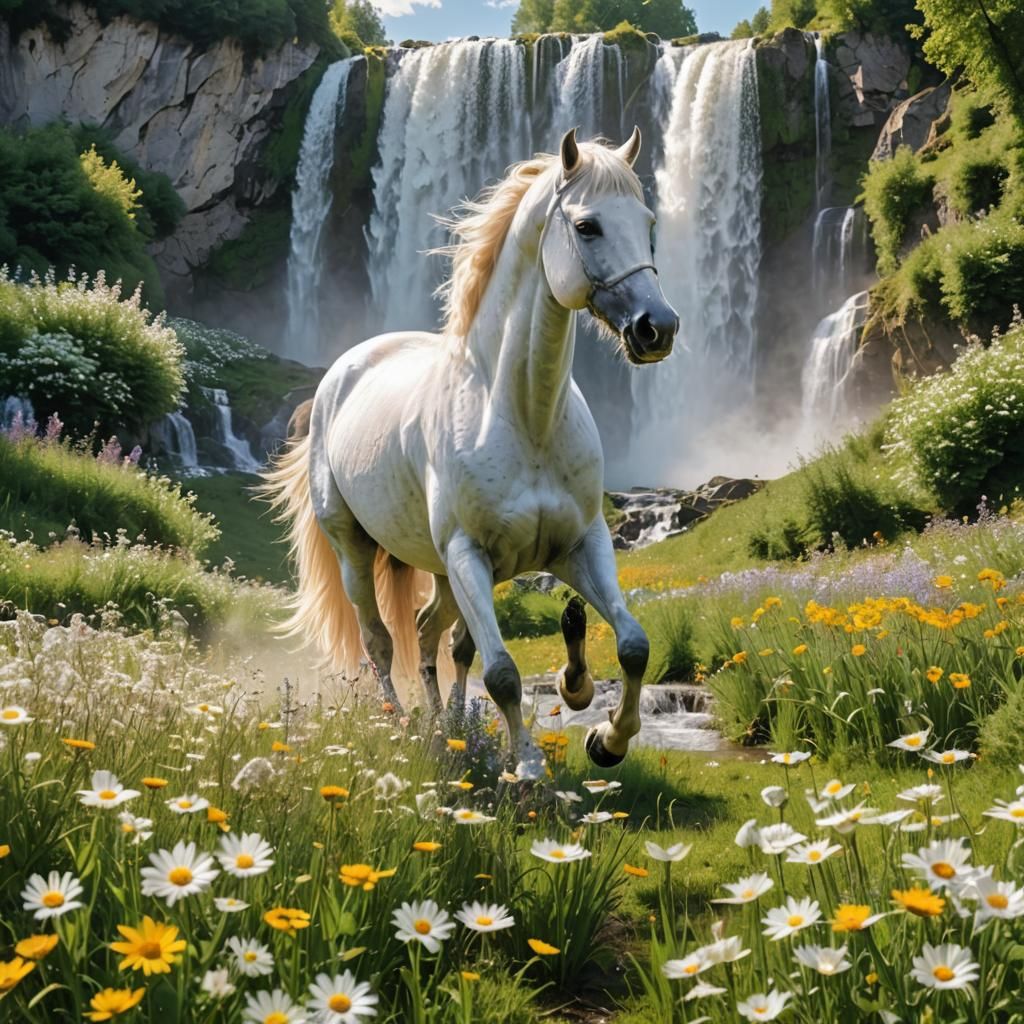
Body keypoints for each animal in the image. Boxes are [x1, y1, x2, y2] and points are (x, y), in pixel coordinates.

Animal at [264, 128, 679, 780]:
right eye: (587, 226)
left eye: (648, 222)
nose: (657, 327)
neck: (524, 417)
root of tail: (341, 373)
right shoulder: (468, 555)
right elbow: (503, 671)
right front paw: (528, 766)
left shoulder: (580, 546)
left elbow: (634, 644)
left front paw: (605, 736)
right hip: (358, 550)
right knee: (381, 641)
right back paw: (406, 728)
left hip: (440, 571)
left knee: (434, 637)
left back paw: (450, 727)